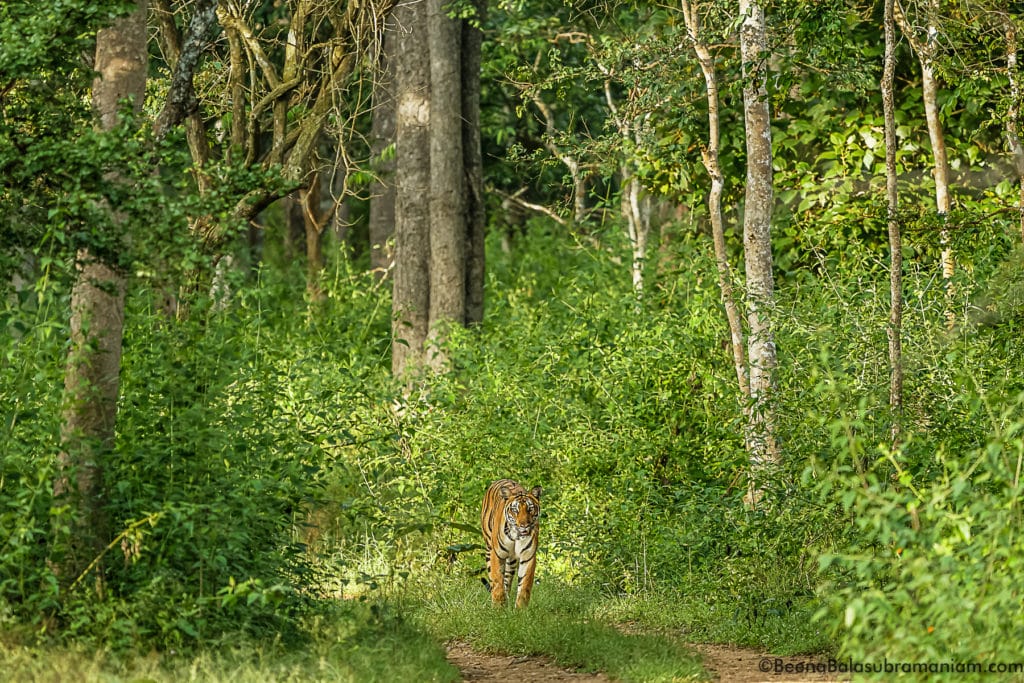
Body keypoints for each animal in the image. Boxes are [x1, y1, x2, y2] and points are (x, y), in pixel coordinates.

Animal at [481, 481, 544, 610]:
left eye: (530, 509)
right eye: (515, 510)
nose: (524, 525)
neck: (517, 536)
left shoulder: (528, 556)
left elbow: (524, 584)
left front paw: (521, 609)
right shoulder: (497, 554)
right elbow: (497, 579)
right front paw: (498, 606)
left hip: (512, 560)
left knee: (507, 580)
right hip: (489, 549)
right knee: (493, 579)